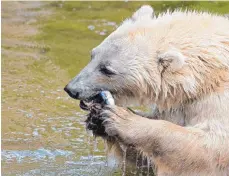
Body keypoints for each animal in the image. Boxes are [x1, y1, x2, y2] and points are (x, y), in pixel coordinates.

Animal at [64, 5, 229, 176]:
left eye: (107, 70)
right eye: (93, 55)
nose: (71, 89)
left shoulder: (217, 99)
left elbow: (210, 146)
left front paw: (120, 118)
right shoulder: (178, 102)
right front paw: (96, 118)